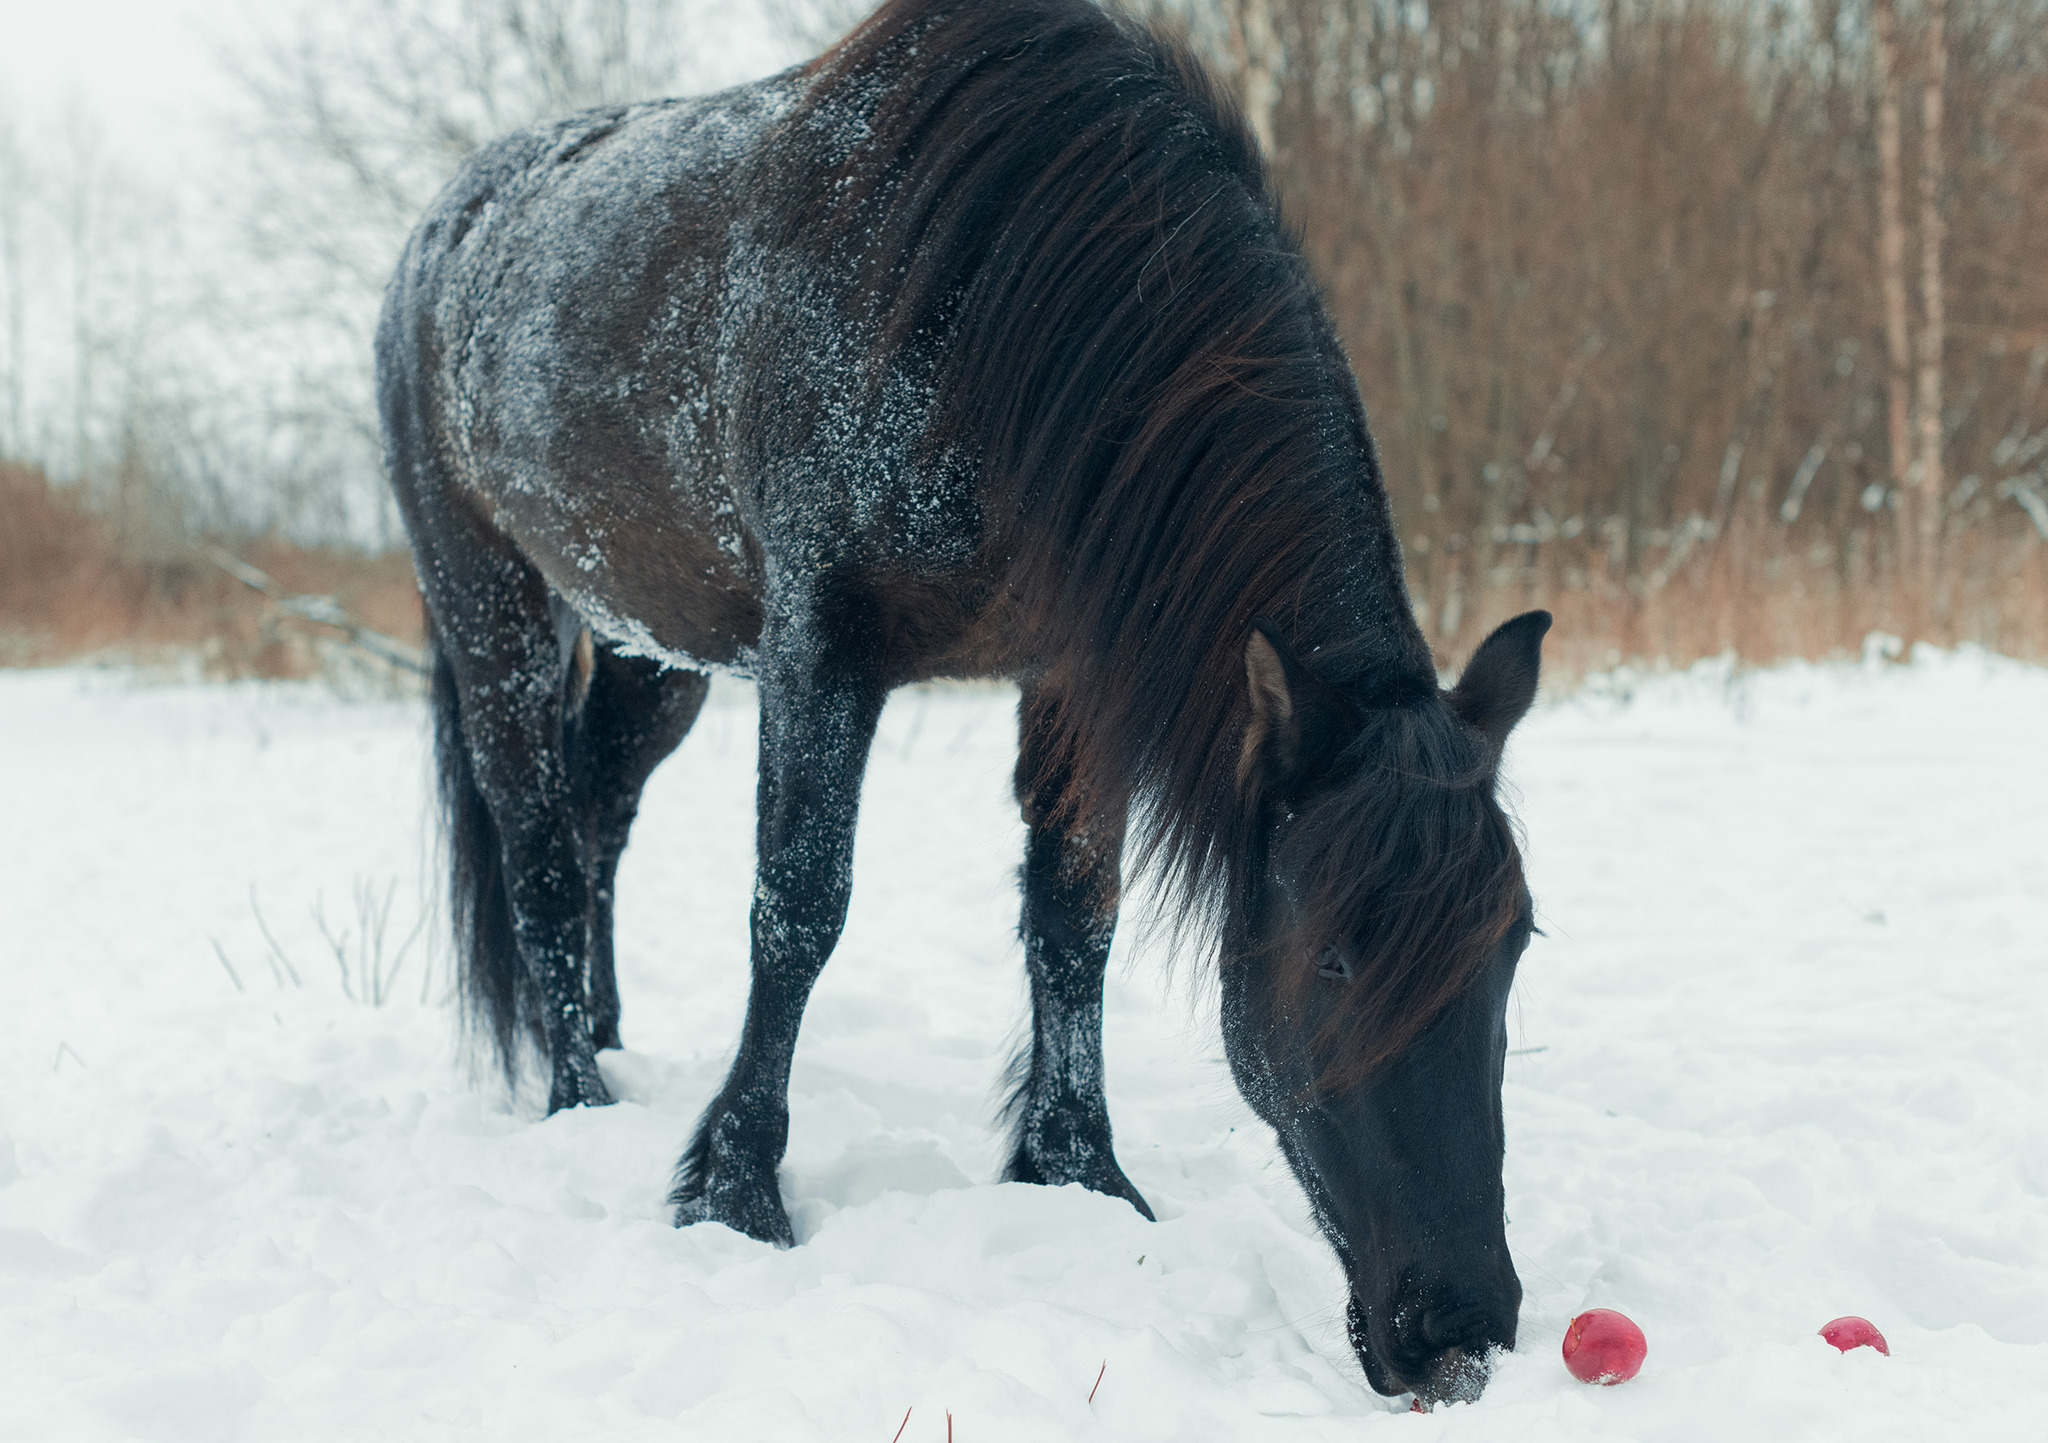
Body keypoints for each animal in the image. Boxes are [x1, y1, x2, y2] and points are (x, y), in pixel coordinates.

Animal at [376, 0, 1540, 1400]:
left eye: (1516, 946)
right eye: (1331, 957)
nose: (1461, 1331)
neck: (994, 306)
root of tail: (443, 232)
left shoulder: (1071, 674)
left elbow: (1074, 916)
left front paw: (1078, 1174)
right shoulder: (824, 649)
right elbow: (798, 909)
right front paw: (734, 1191)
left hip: (654, 645)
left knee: (600, 812)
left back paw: (606, 1045)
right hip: (492, 608)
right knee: (541, 852)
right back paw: (575, 1099)